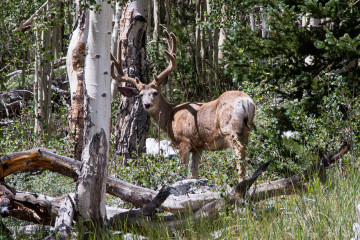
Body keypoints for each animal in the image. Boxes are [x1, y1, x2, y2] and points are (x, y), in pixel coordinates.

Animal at [111, 30, 255, 182]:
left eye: (155, 92)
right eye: (139, 95)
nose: (147, 104)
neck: (170, 117)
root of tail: (247, 101)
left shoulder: (184, 141)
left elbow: (183, 170)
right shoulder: (198, 146)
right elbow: (194, 172)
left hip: (230, 129)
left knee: (239, 153)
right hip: (247, 129)